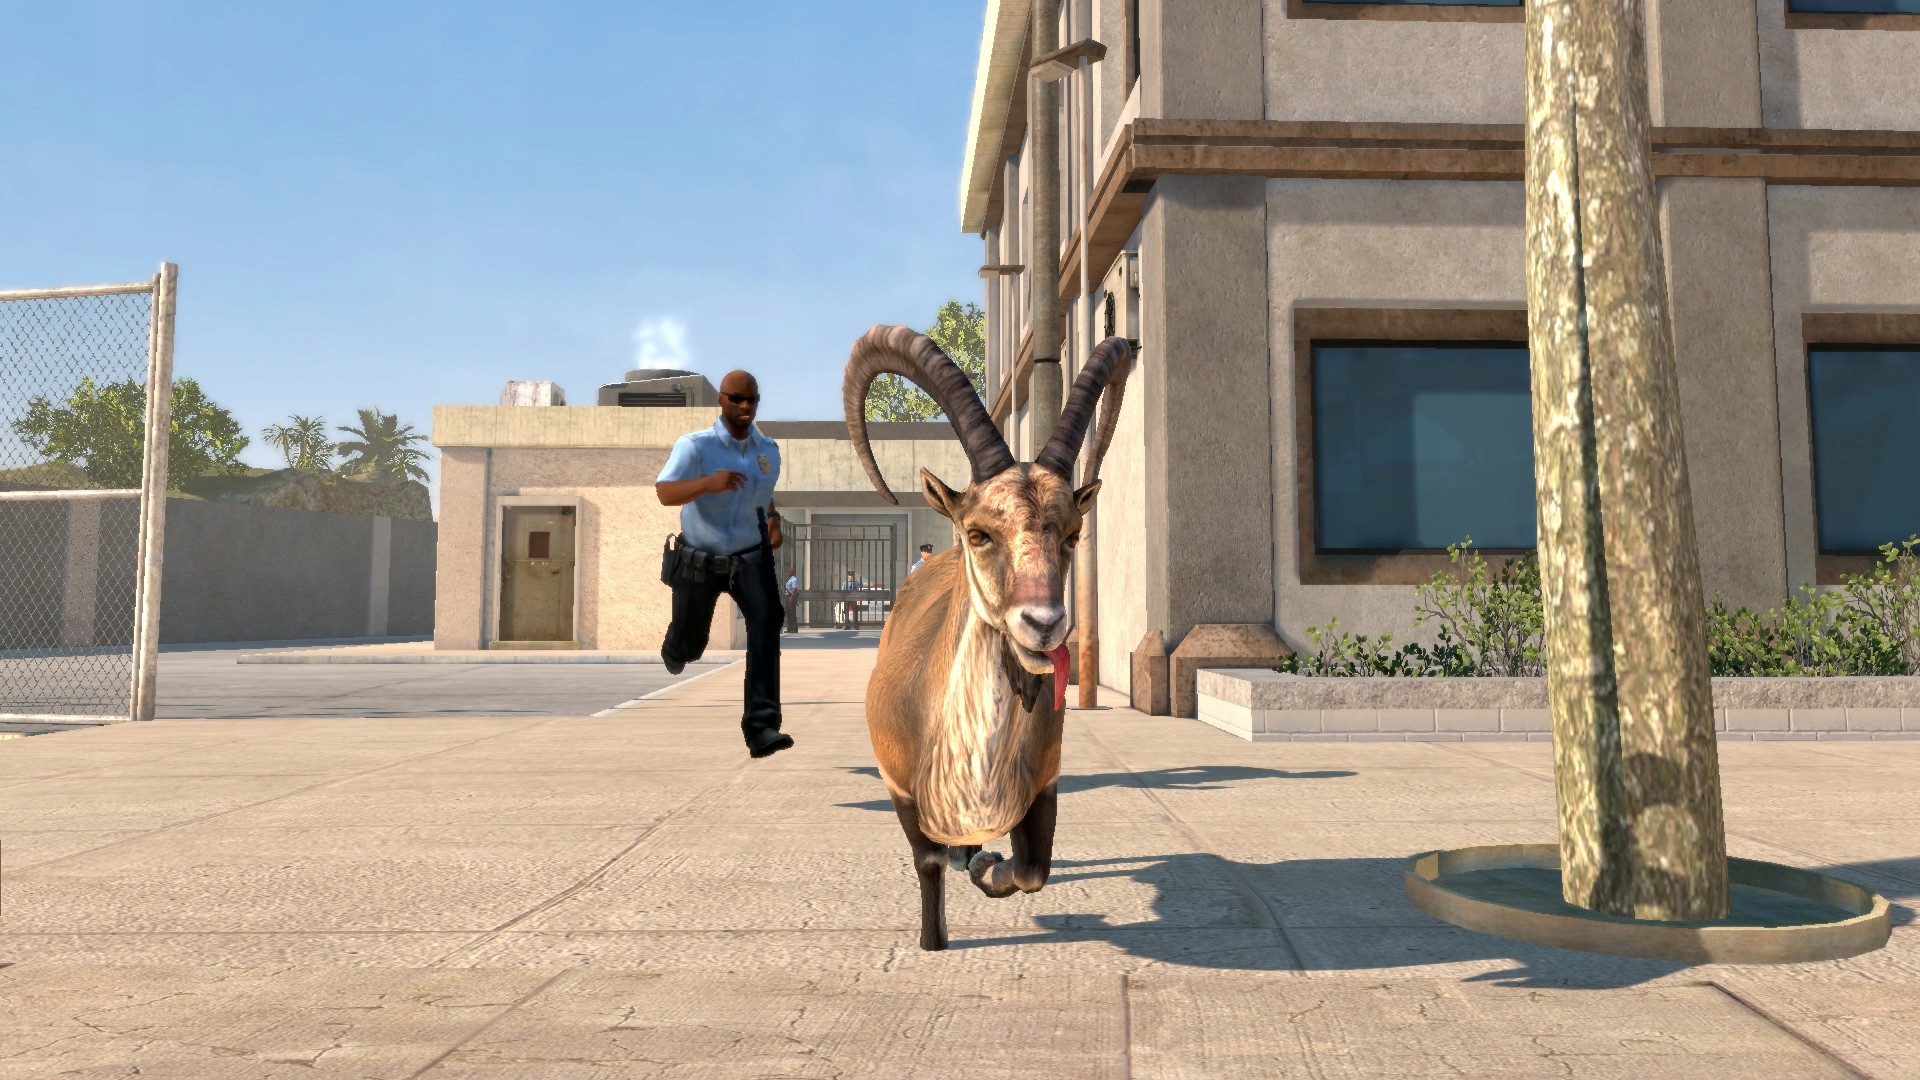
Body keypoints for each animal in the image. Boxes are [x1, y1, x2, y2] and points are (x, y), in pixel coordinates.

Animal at [842, 326, 1133, 951]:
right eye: (979, 532)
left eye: (1072, 533)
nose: (1044, 623)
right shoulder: (898, 786)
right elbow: (927, 861)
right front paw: (934, 941)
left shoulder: (1044, 784)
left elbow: (1032, 869)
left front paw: (985, 866)